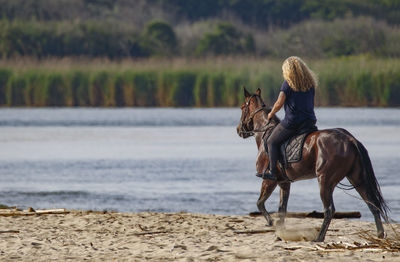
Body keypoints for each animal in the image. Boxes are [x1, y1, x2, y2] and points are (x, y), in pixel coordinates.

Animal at [236, 87, 390, 242]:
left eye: (242, 107)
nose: (238, 130)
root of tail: (350, 139)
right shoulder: (284, 182)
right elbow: (282, 209)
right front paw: (280, 232)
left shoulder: (269, 180)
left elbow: (260, 203)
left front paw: (271, 222)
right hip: (357, 178)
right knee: (371, 204)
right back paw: (379, 234)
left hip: (325, 180)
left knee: (329, 210)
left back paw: (319, 238)